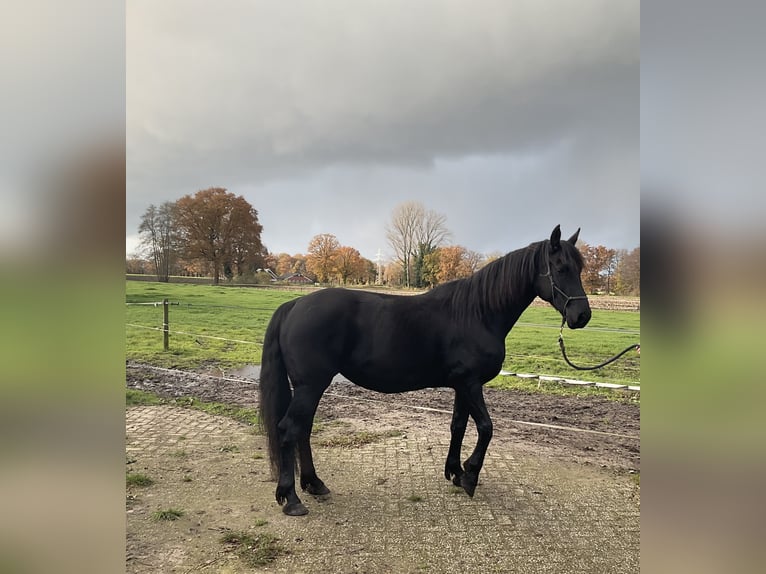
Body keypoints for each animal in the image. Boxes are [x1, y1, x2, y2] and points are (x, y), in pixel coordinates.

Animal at [260, 226, 592, 516]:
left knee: (303, 430)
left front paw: (455, 471)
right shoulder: (471, 384)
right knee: (289, 430)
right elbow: (486, 428)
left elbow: (458, 426)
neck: (478, 313)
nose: (582, 316)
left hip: (310, 387)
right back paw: (291, 499)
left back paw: (314, 484)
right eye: (560, 268)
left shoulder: (462, 385)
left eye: (579, 268)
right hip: (310, 385)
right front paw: (470, 475)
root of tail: (295, 304)